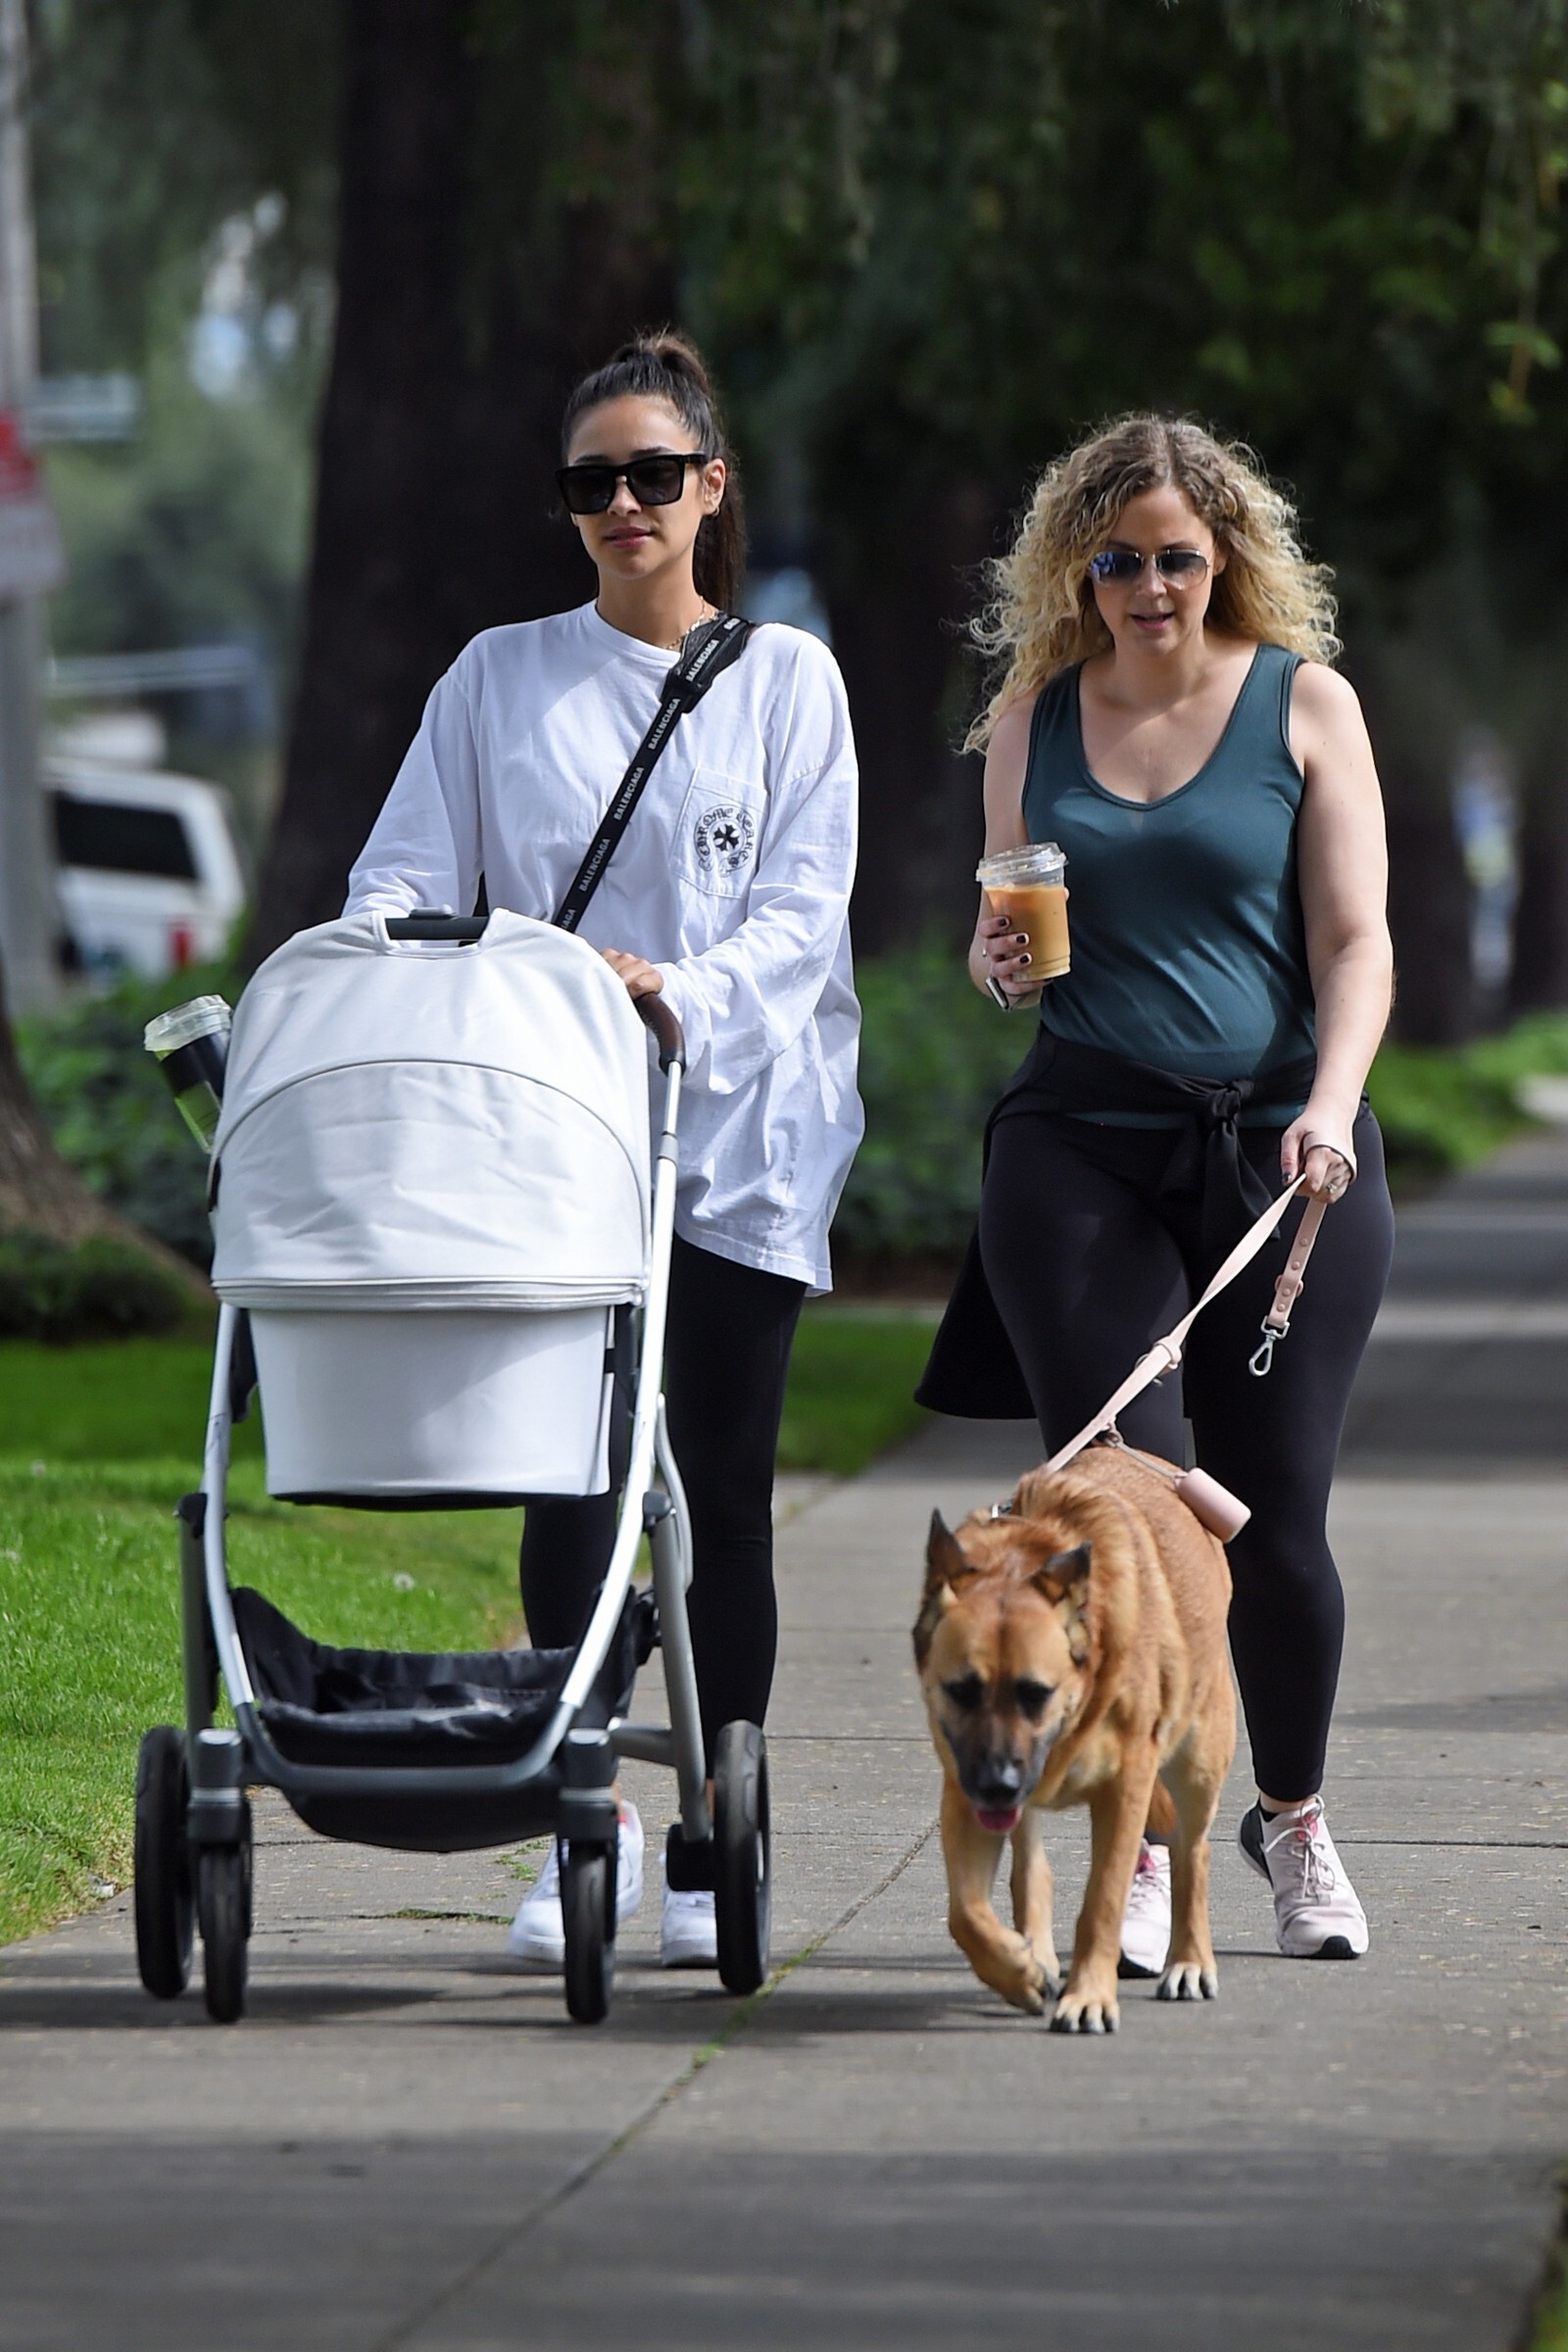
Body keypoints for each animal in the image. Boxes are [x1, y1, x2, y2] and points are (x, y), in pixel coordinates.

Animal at [914, 1442, 1236, 2033]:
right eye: (962, 1691)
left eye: (1035, 1693)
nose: (998, 1785)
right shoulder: (963, 1791)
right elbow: (965, 1912)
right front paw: (1015, 1971)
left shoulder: (1126, 1787)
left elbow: (1103, 1899)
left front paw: (1088, 1997)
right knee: (1031, 1869)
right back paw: (1034, 1951)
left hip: (1198, 1763)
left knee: (1192, 1854)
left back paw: (1189, 1960)